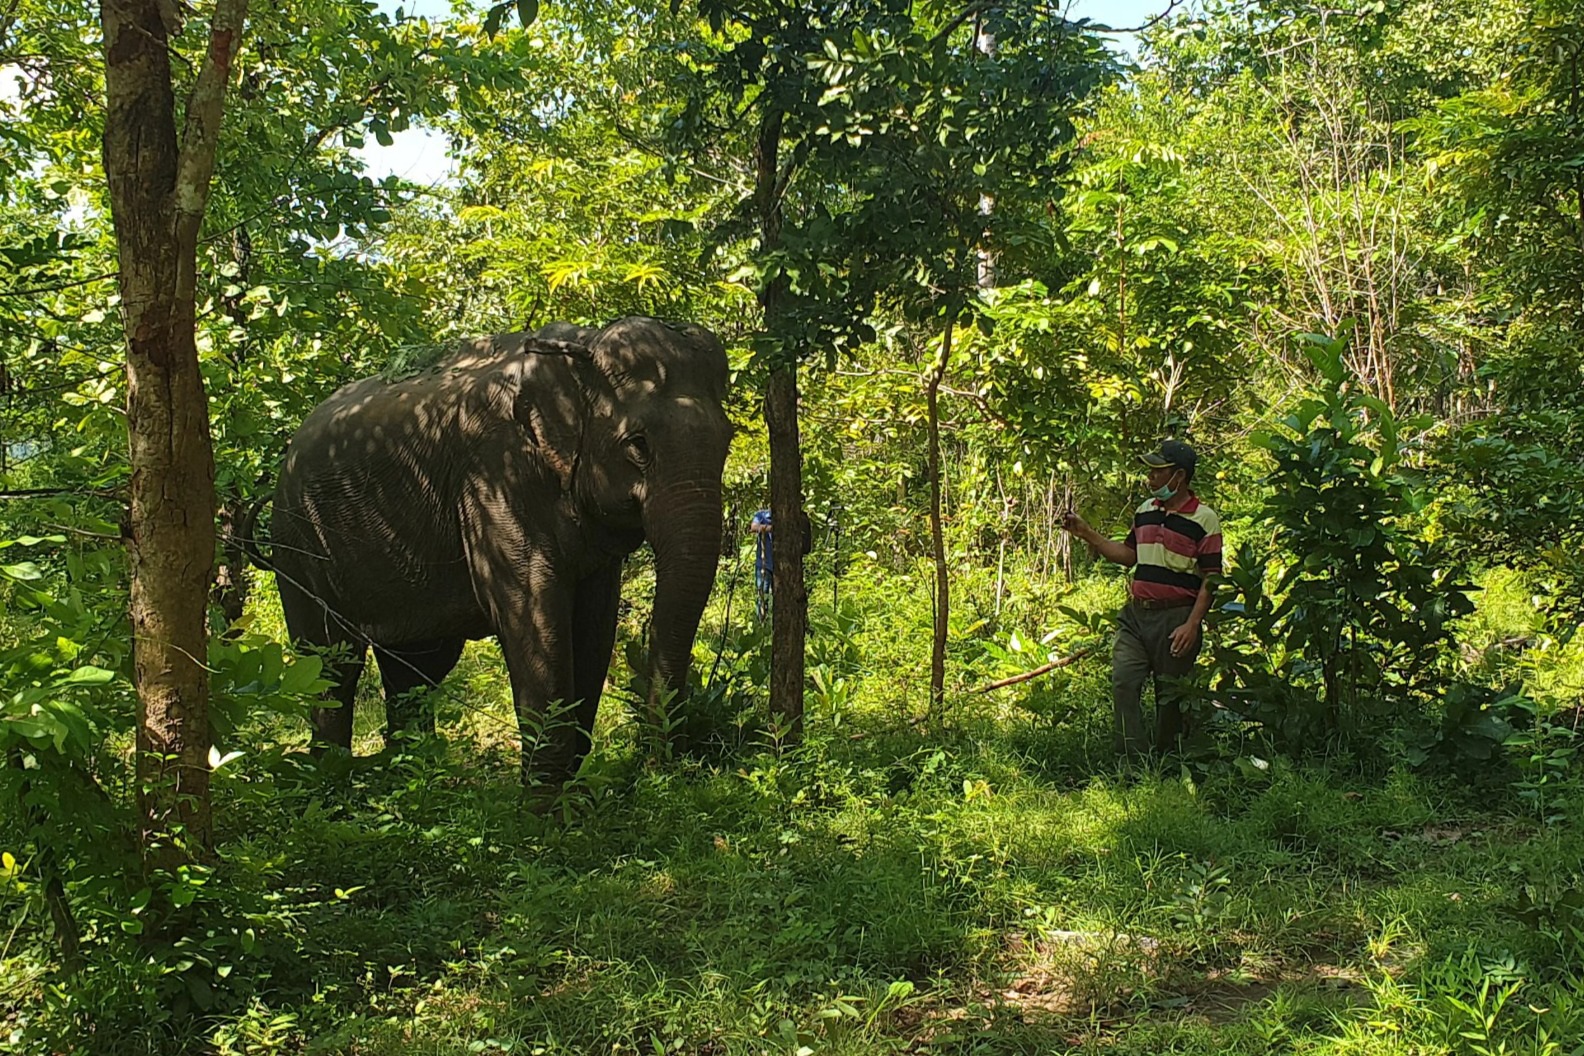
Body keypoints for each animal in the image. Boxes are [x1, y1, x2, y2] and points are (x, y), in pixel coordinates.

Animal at [253, 313, 734, 785]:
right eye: (638, 445)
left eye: (728, 440)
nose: (654, 767)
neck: (581, 344)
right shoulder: (493, 475)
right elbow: (531, 612)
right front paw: (546, 807)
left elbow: (595, 623)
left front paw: (572, 797)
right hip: (298, 544)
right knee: (331, 664)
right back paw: (329, 781)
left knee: (417, 666)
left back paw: (410, 776)